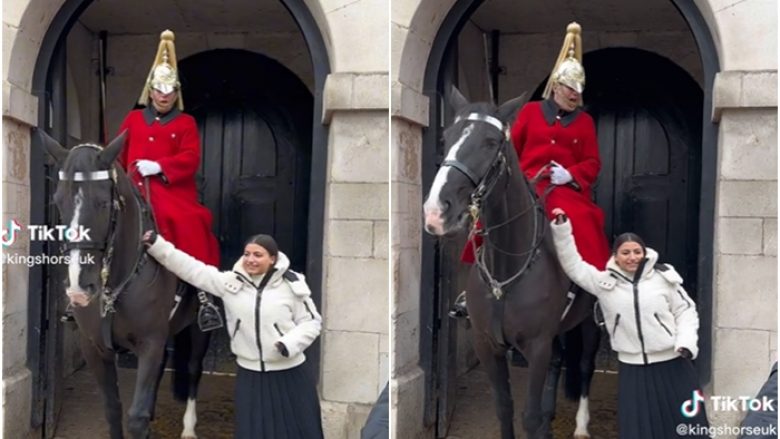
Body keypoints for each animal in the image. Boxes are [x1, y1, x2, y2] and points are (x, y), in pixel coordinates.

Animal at [38, 131, 212, 439]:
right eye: (58, 201)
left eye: (103, 203)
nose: (80, 289)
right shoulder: (95, 347)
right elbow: (113, 409)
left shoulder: (150, 342)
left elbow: (136, 418)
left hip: (198, 327)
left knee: (194, 368)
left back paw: (189, 428)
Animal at [424, 87, 600, 438]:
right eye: (447, 136)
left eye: (491, 142)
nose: (436, 211)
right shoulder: (487, 345)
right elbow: (503, 408)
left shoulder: (537, 345)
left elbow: (527, 416)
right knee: (559, 361)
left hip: (589, 322)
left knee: (585, 365)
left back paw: (580, 425)